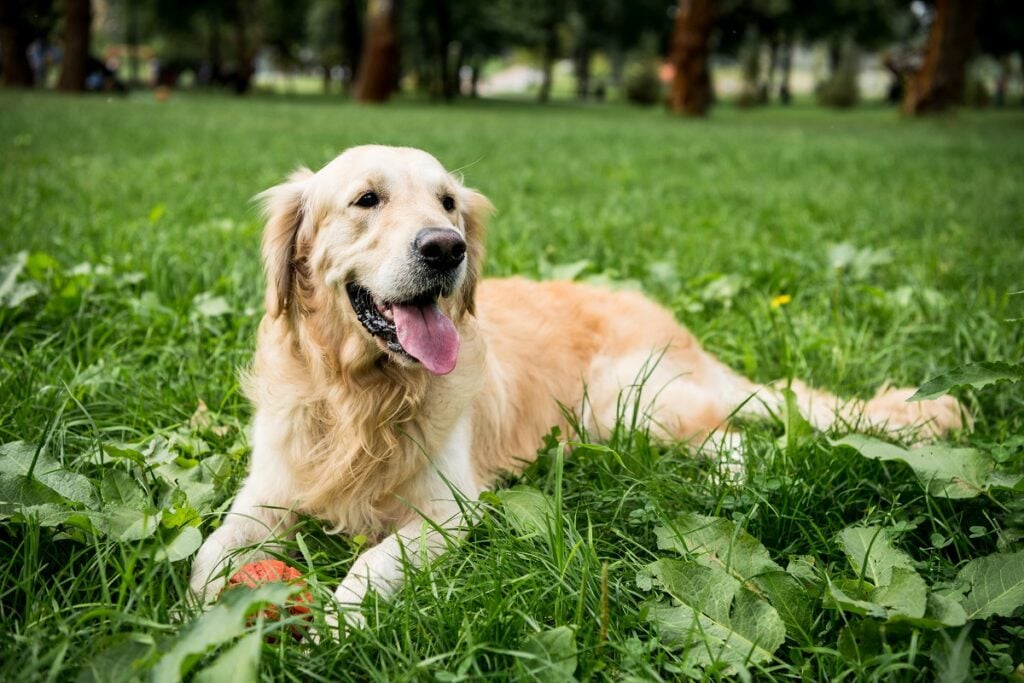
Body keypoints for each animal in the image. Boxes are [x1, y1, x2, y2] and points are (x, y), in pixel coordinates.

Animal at [190, 145, 966, 630]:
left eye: (447, 201)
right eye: (366, 199)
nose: (447, 247)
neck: (361, 395)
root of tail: (672, 320)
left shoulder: (449, 511)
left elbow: (375, 560)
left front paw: (337, 624)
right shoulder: (267, 490)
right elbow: (207, 553)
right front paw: (194, 616)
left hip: (628, 402)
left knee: (733, 436)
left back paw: (726, 487)